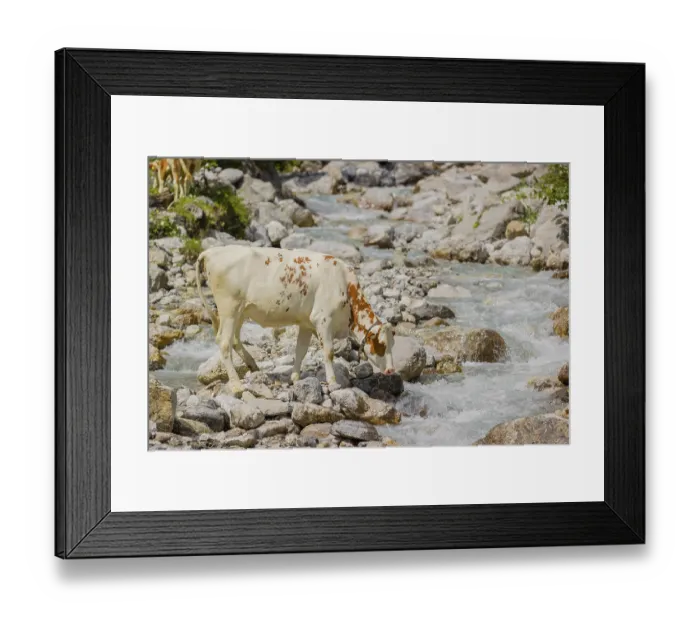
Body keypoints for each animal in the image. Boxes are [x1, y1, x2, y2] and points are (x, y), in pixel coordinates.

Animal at [195, 246, 395, 394]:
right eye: (382, 345)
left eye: (392, 345)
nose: (391, 370)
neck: (344, 283)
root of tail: (211, 251)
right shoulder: (323, 319)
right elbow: (329, 352)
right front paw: (332, 382)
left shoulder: (306, 323)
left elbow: (301, 351)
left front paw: (296, 378)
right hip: (229, 308)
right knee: (224, 343)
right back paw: (236, 385)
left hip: (240, 312)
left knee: (235, 340)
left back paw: (253, 366)